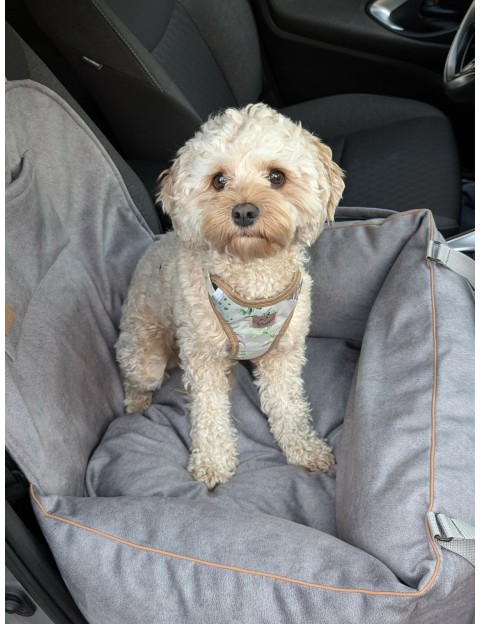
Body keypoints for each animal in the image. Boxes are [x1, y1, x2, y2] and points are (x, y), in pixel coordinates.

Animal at [115, 103, 345, 489]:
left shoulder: (283, 353)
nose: (244, 211)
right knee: (137, 377)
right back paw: (136, 403)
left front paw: (306, 449)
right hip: (144, 352)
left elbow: (288, 405)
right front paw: (212, 463)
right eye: (219, 180)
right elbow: (209, 412)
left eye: (277, 177)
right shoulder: (202, 355)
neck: (251, 275)